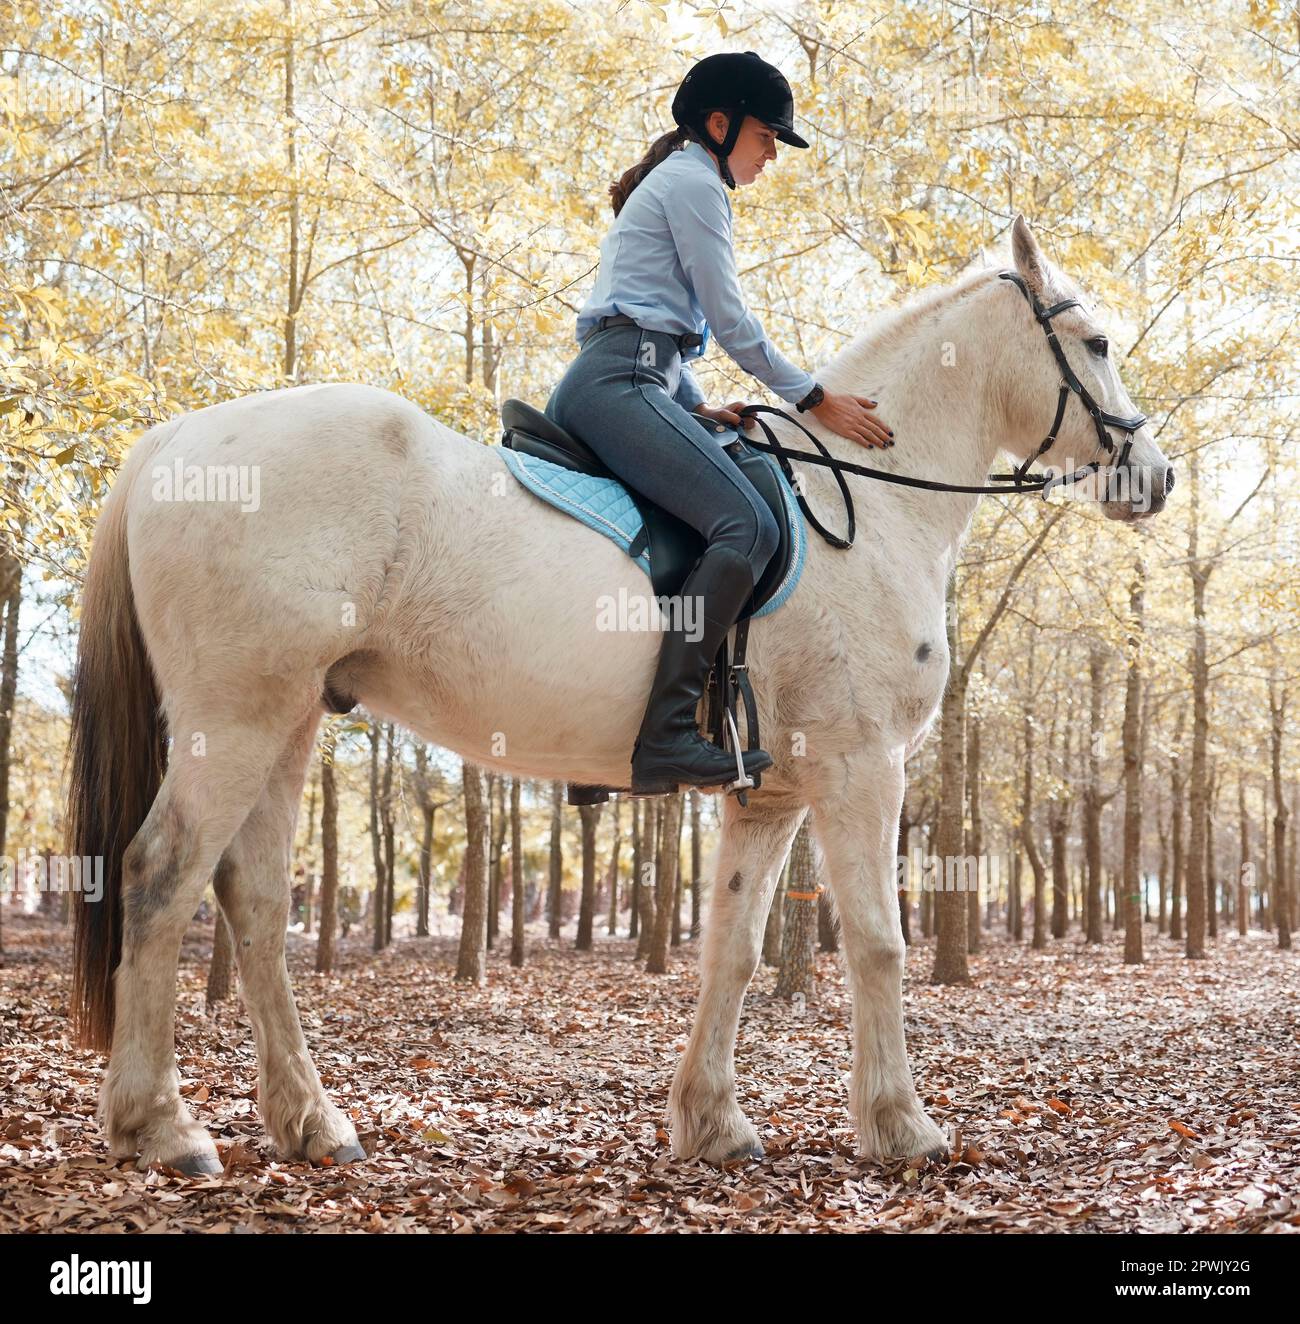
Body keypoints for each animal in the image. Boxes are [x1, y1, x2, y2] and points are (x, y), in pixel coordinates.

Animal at [66, 219, 1175, 1181]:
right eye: (1096, 342)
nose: (1153, 476)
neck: (870, 493)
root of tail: (176, 440)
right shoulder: (861, 767)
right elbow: (876, 942)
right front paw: (902, 1126)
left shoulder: (770, 795)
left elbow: (732, 948)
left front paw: (713, 1122)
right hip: (233, 721)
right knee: (160, 877)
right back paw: (162, 1127)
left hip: (288, 721)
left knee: (251, 896)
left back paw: (312, 1123)